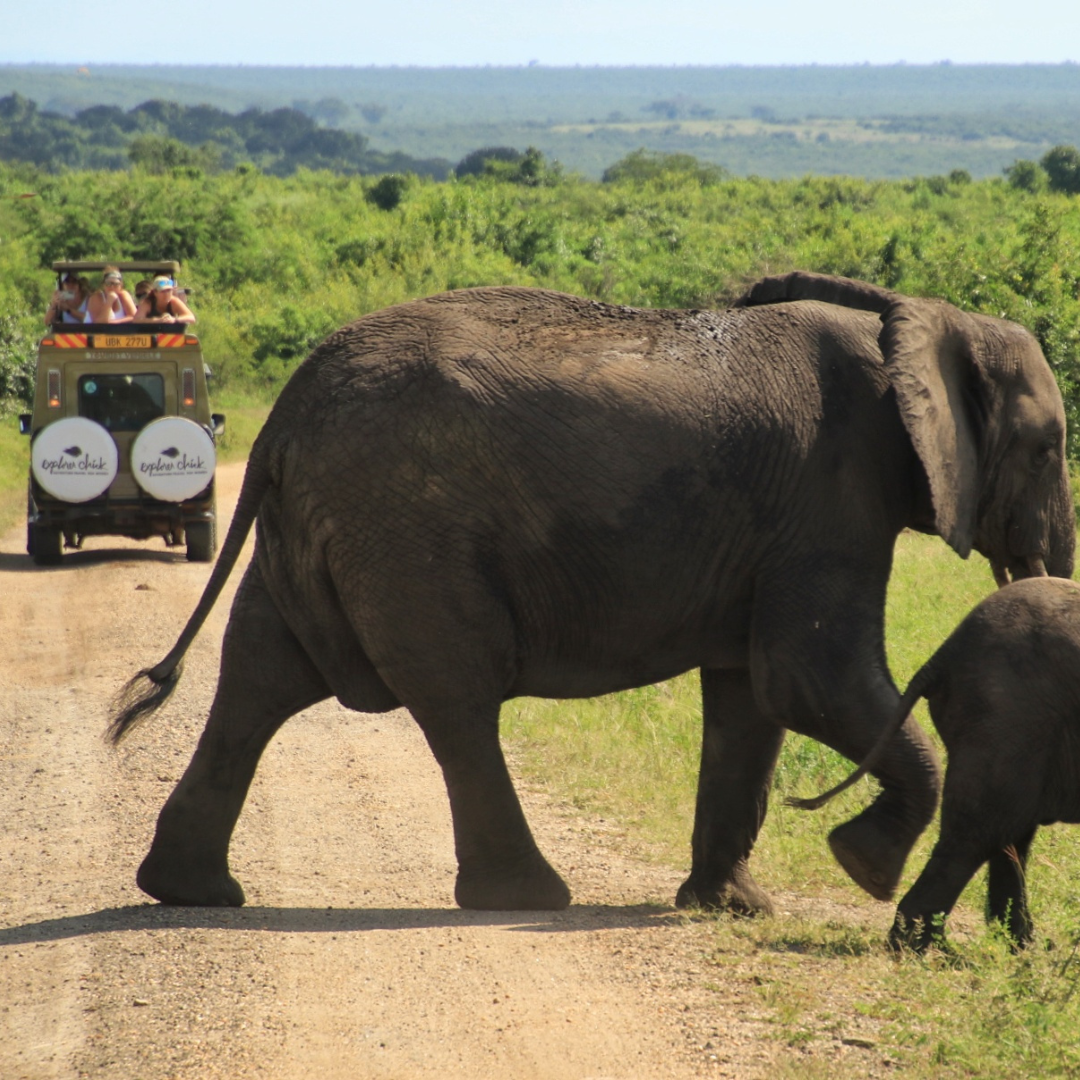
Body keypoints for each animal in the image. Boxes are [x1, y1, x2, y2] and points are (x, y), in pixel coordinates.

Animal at [108, 271, 1074, 913]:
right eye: (1048, 448)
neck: (924, 320)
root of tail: (286, 407)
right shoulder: (832, 495)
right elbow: (807, 678)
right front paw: (861, 867)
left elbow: (750, 699)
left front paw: (729, 910)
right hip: (405, 528)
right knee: (456, 697)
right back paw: (527, 898)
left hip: (322, 523)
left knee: (259, 678)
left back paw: (192, 892)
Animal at [789, 577, 1080, 951]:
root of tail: (945, 655)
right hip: (1012, 716)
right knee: (979, 832)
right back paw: (922, 947)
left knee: (1007, 836)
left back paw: (1019, 946)